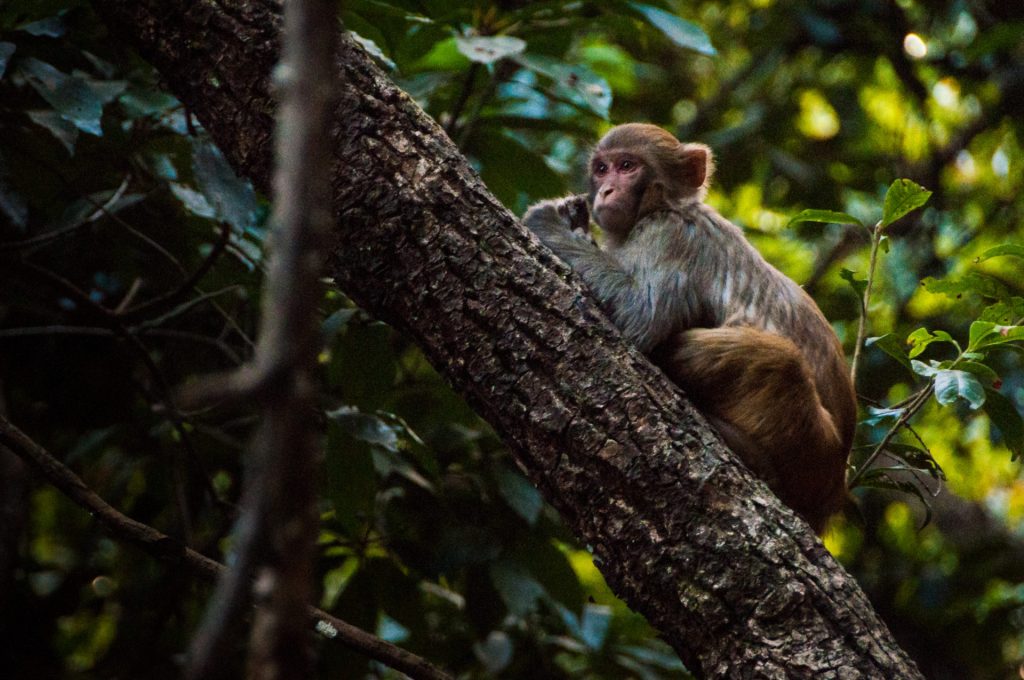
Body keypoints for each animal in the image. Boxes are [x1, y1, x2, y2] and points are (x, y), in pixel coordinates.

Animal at [522, 123, 856, 534]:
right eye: (602, 169)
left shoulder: (670, 235)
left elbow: (640, 316)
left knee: (779, 358)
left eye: (627, 166)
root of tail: (832, 492)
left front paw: (546, 221)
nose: (606, 190)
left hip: (810, 449)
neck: (664, 205)